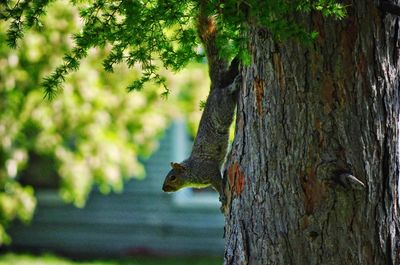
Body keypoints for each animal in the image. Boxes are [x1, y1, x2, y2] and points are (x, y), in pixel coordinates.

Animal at [161, 0, 239, 206]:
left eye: (172, 177)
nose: (164, 189)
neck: (192, 171)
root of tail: (213, 89)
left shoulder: (209, 171)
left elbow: (218, 182)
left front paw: (222, 196)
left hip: (222, 107)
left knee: (227, 94)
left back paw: (235, 84)